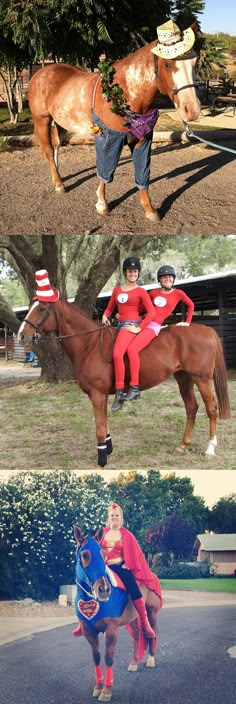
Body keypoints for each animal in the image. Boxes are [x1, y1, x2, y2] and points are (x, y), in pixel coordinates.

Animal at [17, 296, 231, 468]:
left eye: (42, 308)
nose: (21, 335)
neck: (90, 344)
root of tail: (207, 330)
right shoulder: (101, 395)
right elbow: (104, 424)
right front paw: (108, 449)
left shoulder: (98, 394)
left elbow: (100, 429)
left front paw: (101, 460)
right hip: (183, 378)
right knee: (191, 407)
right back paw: (183, 445)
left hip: (202, 379)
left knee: (211, 409)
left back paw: (210, 447)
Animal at [28, 38, 200, 220]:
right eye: (167, 64)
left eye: (194, 62)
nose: (192, 110)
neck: (125, 92)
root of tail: (40, 73)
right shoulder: (109, 139)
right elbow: (107, 170)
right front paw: (102, 204)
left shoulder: (143, 140)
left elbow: (142, 174)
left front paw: (150, 210)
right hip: (43, 120)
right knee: (48, 149)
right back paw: (59, 184)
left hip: (61, 122)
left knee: (56, 145)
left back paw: (58, 177)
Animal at [74, 524, 162, 700]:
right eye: (85, 555)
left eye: (103, 555)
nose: (103, 589)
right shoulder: (89, 631)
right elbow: (96, 658)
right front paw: (98, 687)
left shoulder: (111, 630)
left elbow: (108, 658)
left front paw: (107, 691)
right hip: (134, 618)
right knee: (137, 636)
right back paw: (134, 663)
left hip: (152, 613)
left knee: (152, 633)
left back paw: (150, 659)